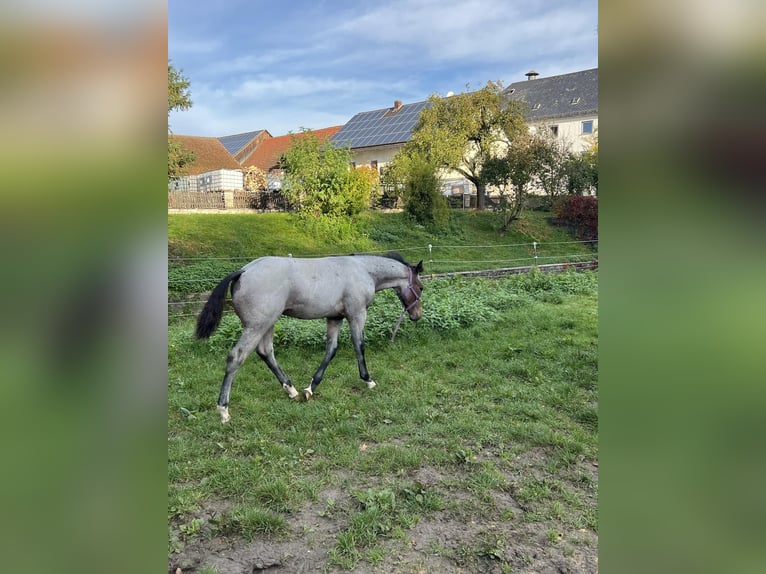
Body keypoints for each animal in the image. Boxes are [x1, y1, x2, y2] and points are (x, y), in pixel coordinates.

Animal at [195, 252, 424, 424]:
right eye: (421, 287)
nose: (416, 315)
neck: (362, 269)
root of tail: (243, 271)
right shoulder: (357, 314)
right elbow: (359, 346)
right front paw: (368, 380)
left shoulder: (334, 318)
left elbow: (331, 350)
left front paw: (310, 388)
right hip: (257, 326)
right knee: (237, 357)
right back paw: (223, 410)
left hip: (268, 324)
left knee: (266, 352)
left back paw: (291, 390)